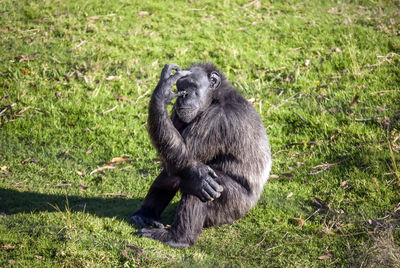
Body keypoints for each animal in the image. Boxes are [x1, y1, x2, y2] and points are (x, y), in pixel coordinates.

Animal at [131, 62, 272, 247]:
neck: (214, 99)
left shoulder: (216, 120)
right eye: (181, 87)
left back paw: (178, 237)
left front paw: (163, 91)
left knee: (203, 183)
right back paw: (146, 215)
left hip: (232, 208)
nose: (184, 95)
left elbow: (185, 155)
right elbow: (173, 157)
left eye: (192, 85)